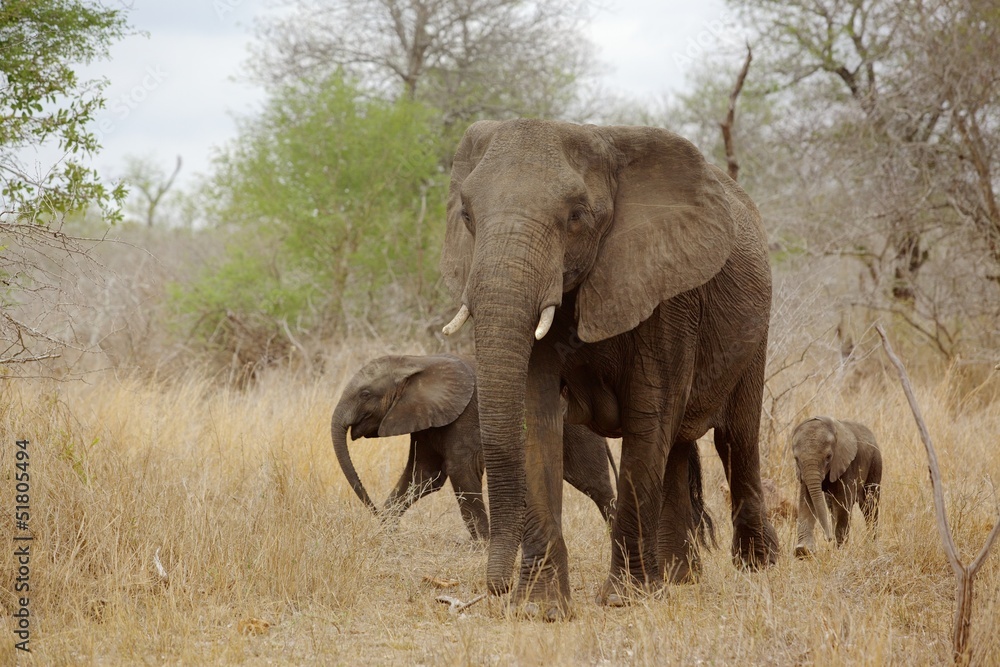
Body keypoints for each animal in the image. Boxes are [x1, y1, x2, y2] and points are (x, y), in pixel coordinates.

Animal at [330, 352, 616, 540]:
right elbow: (423, 476)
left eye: (365, 394)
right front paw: (385, 532)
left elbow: (460, 471)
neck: (417, 361)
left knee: (593, 484)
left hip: (577, 430)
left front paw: (481, 545)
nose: (375, 512)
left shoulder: (466, 418)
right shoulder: (426, 421)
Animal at [442, 118, 776, 620]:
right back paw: (676, 578)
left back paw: (757, 566)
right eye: (466, 215)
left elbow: (648, 416)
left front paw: (623, 599)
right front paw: (539, 609)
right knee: (678, 447)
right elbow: (536, 418)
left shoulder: (668, 293)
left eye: (577, 215)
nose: (494, 589)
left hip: (755, 328)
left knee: (735, 438)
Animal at [792, 418, 880, 560]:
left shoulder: (847, 465)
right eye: (796, 458)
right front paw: (802, 551)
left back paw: (872, 544)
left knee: (870, 505)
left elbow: (843, 504)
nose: (828, 538)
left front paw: (839, 552)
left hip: (875, 462)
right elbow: (806, 502)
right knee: (831, 505)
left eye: (828, 457)